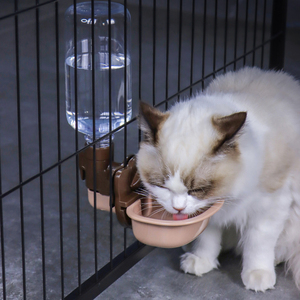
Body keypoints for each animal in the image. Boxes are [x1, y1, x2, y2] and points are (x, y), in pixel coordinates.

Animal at [136, 67, 300, 290]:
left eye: (196, 189)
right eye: (162, 186)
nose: (178, 209)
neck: (228, 196)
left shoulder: (271, 206)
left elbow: (258, 243)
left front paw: (258, 275)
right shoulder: (207, 213)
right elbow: (207, 239)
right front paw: (202, 261)